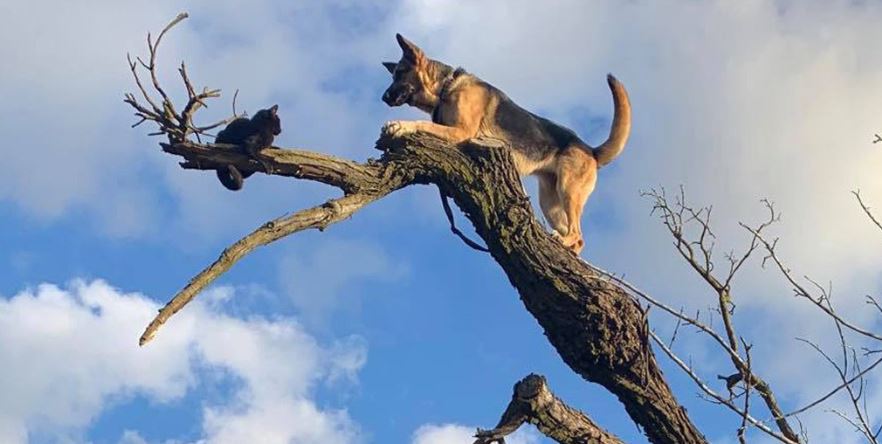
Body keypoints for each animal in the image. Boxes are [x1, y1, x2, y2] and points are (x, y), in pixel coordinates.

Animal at [378, 33, 624, 253]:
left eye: (400, 73)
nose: (384, 98)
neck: (446, 87)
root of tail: (591, 150)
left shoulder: (461, 132)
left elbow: (422, 123)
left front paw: (400, 126)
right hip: (549, 201)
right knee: (577, 239)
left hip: (568, 190)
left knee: (578, 235)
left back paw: (564, 242)